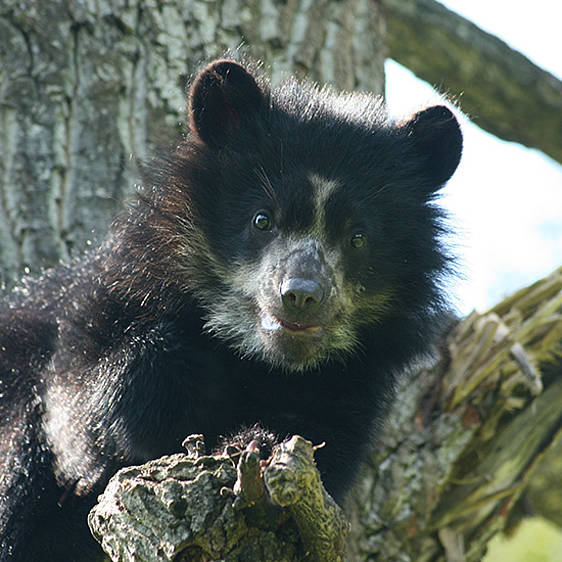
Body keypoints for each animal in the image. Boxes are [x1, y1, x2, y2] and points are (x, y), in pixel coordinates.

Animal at [0, 59, 460, 556]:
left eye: (358, 237)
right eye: (262, 219)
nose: (301, 295)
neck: (255, 357)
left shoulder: (353, 382)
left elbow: (326, 444)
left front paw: (256, 442)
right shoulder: (102, 303)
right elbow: (77, 411)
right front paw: (179, 379)